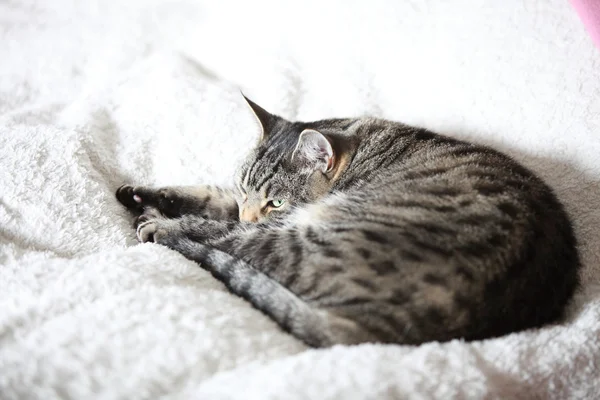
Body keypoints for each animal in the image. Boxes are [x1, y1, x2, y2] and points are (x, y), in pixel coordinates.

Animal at [115, 96, 580, 346]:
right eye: (246, 189)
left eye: (277, 202)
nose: (251, 213)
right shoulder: (235, 203)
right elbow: (213, 197)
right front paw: (140, 193)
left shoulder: (271, 222)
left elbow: (218, 223)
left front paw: (159, 213)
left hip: (313, 238)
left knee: (234, 245)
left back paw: (159, 226)